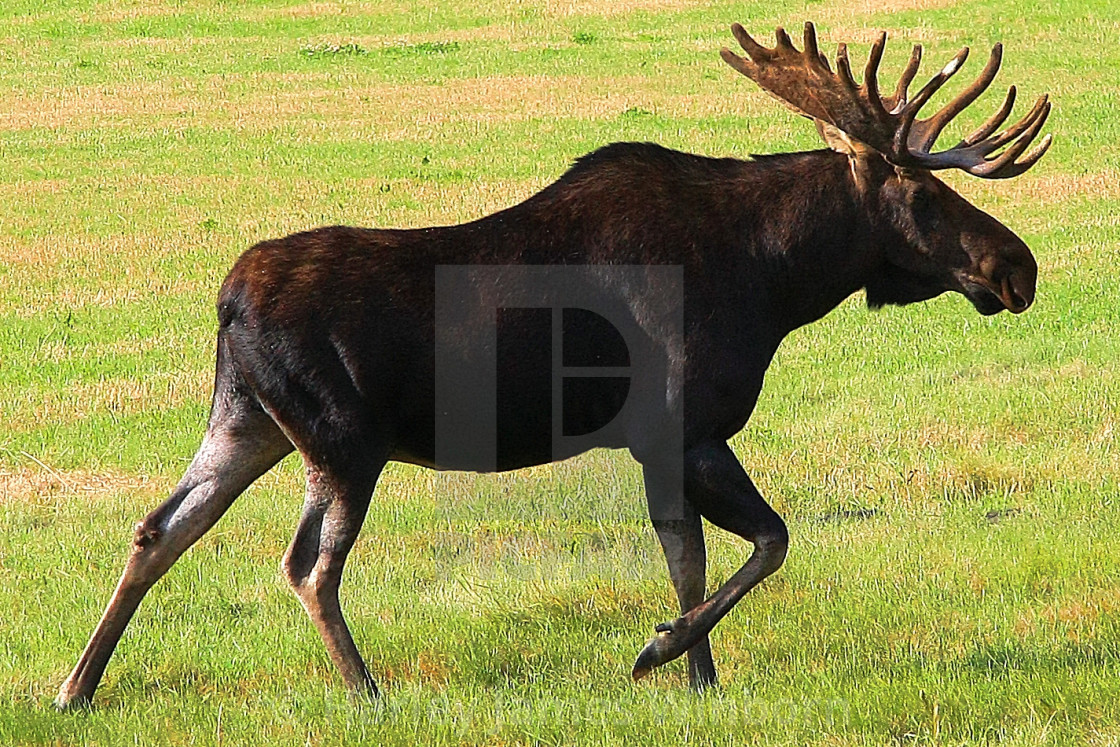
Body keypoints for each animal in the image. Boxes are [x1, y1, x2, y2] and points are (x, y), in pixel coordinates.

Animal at [55, 21, 1051, 709]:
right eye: (922, 192)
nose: (1018, 266)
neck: (775, 279)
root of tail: (225, 302)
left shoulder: (669, 439)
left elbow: (702, 555)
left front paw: (700, 679)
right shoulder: (679, 424)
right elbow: (755, 543)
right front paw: (660, 653)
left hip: (248, 422)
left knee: (158, 529)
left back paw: (76, 686)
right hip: (340, 440)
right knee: (306, 566)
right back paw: (368, 691)